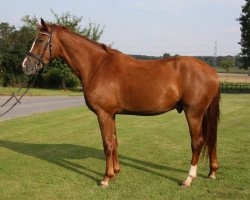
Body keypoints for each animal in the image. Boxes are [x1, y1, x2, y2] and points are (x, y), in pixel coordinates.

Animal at [22, 18, 220, 188]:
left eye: (40, 40)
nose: (26, 66)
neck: (97, 66)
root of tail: (212, 71)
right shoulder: (112, 115)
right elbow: (114, 142)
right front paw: (116, 172)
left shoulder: (103, 114)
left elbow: (107, 144)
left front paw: (106, 178)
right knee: (211, 139)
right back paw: (212, 172)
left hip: (193, 113)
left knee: (197, 142)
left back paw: (189, 179)